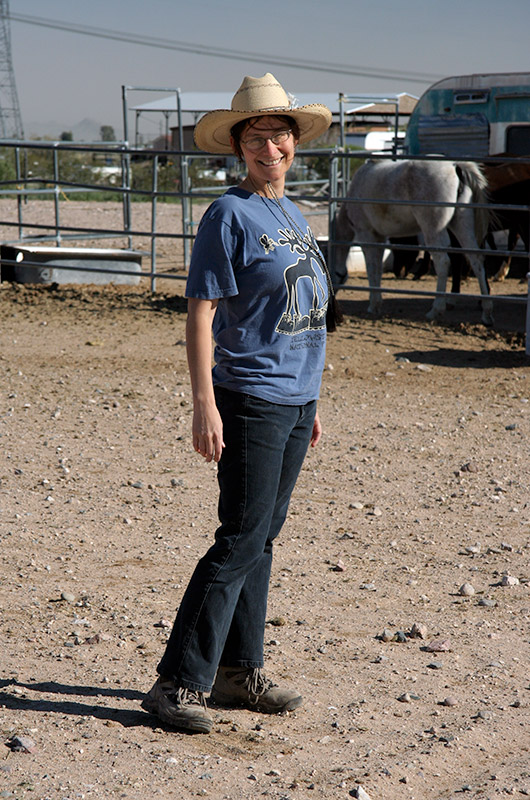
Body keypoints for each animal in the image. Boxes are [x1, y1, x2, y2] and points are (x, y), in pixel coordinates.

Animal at [332, 159, 492, 324]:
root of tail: (455, 166)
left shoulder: (366, 235)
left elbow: (371, 267)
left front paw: (373, 305)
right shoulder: (380, 238)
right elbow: (377, 268)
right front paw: (376, 304)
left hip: (433, 230)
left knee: (443, 262)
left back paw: (435, 310)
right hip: (462, 226)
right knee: (476, 260)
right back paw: (486, 312)